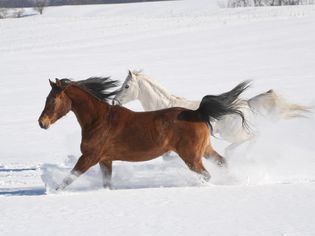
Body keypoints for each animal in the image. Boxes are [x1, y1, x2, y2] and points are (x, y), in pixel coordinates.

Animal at [38, 76, 249, 191]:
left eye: (53, 99)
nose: (42, 123)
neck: (99, 120)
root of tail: (197, 113)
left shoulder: (89, 157)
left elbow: (69, 178)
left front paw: (52, 191)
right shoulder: (105, 160)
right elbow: (106, 183)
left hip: (191, 156)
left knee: (206, 174)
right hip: (204, 150)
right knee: (222, 163)